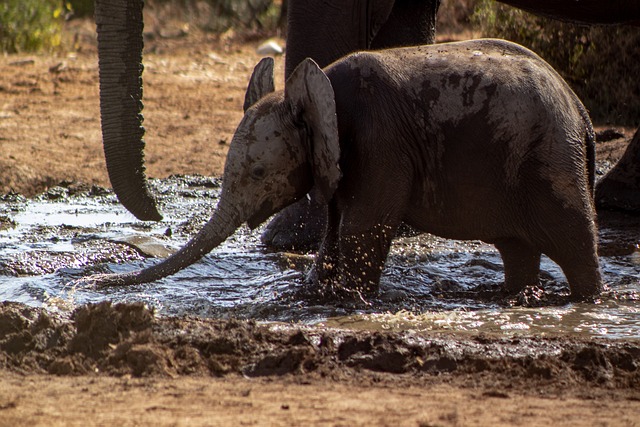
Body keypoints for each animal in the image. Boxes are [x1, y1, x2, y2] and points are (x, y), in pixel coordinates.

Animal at [82, 39, 604, 300]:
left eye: (257, 175)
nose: (98, 284)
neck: (320, 91)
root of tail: (581, 110)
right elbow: (335, 225)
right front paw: (314, 293)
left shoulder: (379, 142)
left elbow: (362, 226)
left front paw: (347, 302)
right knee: (518, 247)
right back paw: (514, 299)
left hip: (551, 158)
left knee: (573, 242)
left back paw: (586, 302)